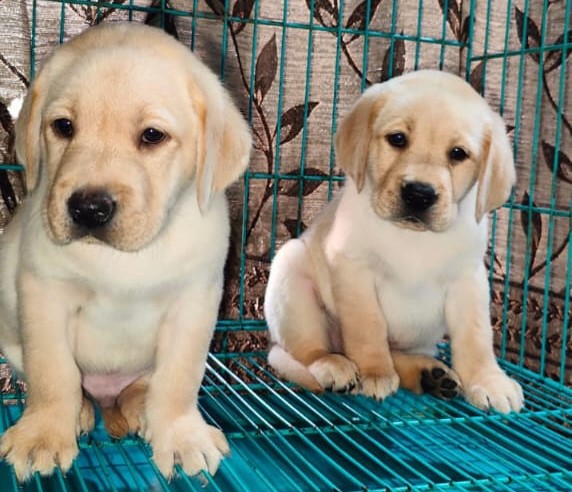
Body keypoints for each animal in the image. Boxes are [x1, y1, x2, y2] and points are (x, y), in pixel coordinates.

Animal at [0, 23, 250, 480]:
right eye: (63, 126)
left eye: (152, 136)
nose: (88, 209)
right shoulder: (44, 294)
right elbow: (53, 373)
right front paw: (44, 434)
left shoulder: (194, 303)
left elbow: (178, 380)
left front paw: (180, 434)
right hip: (12, 341)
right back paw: (81, 412)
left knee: (145, 386)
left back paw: (138, 409)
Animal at [264, 69, 524, 414]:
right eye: (397, 139)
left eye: (458, 154)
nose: (419, 193)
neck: (412, 236)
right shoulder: (353, 269)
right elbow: (368, 327)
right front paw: (374, 373)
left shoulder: (468, 279)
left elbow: (476, 336)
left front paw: (489, 380)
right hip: (291, 275)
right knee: (310, 349)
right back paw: (334, 365)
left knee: (400, 353)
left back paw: (430, 374)